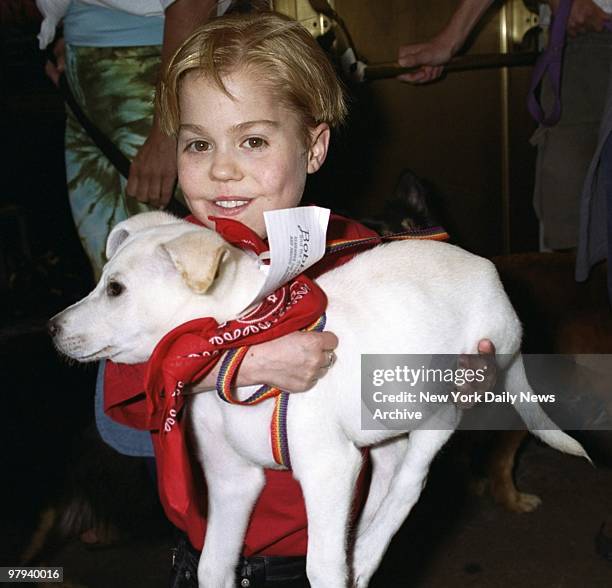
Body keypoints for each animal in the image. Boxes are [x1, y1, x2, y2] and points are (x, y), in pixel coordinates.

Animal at [50, 211, 584, 588]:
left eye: (115, 289)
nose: (52, 328)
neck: (239, 345)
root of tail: (497, 285)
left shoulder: (327, 468)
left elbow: (321, 569)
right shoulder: (233, 482)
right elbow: (212, 567)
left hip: (447, 395)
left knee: (409, 483)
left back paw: (364, 552)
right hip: (386, 415)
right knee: (385, 476)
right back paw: (361, 540)